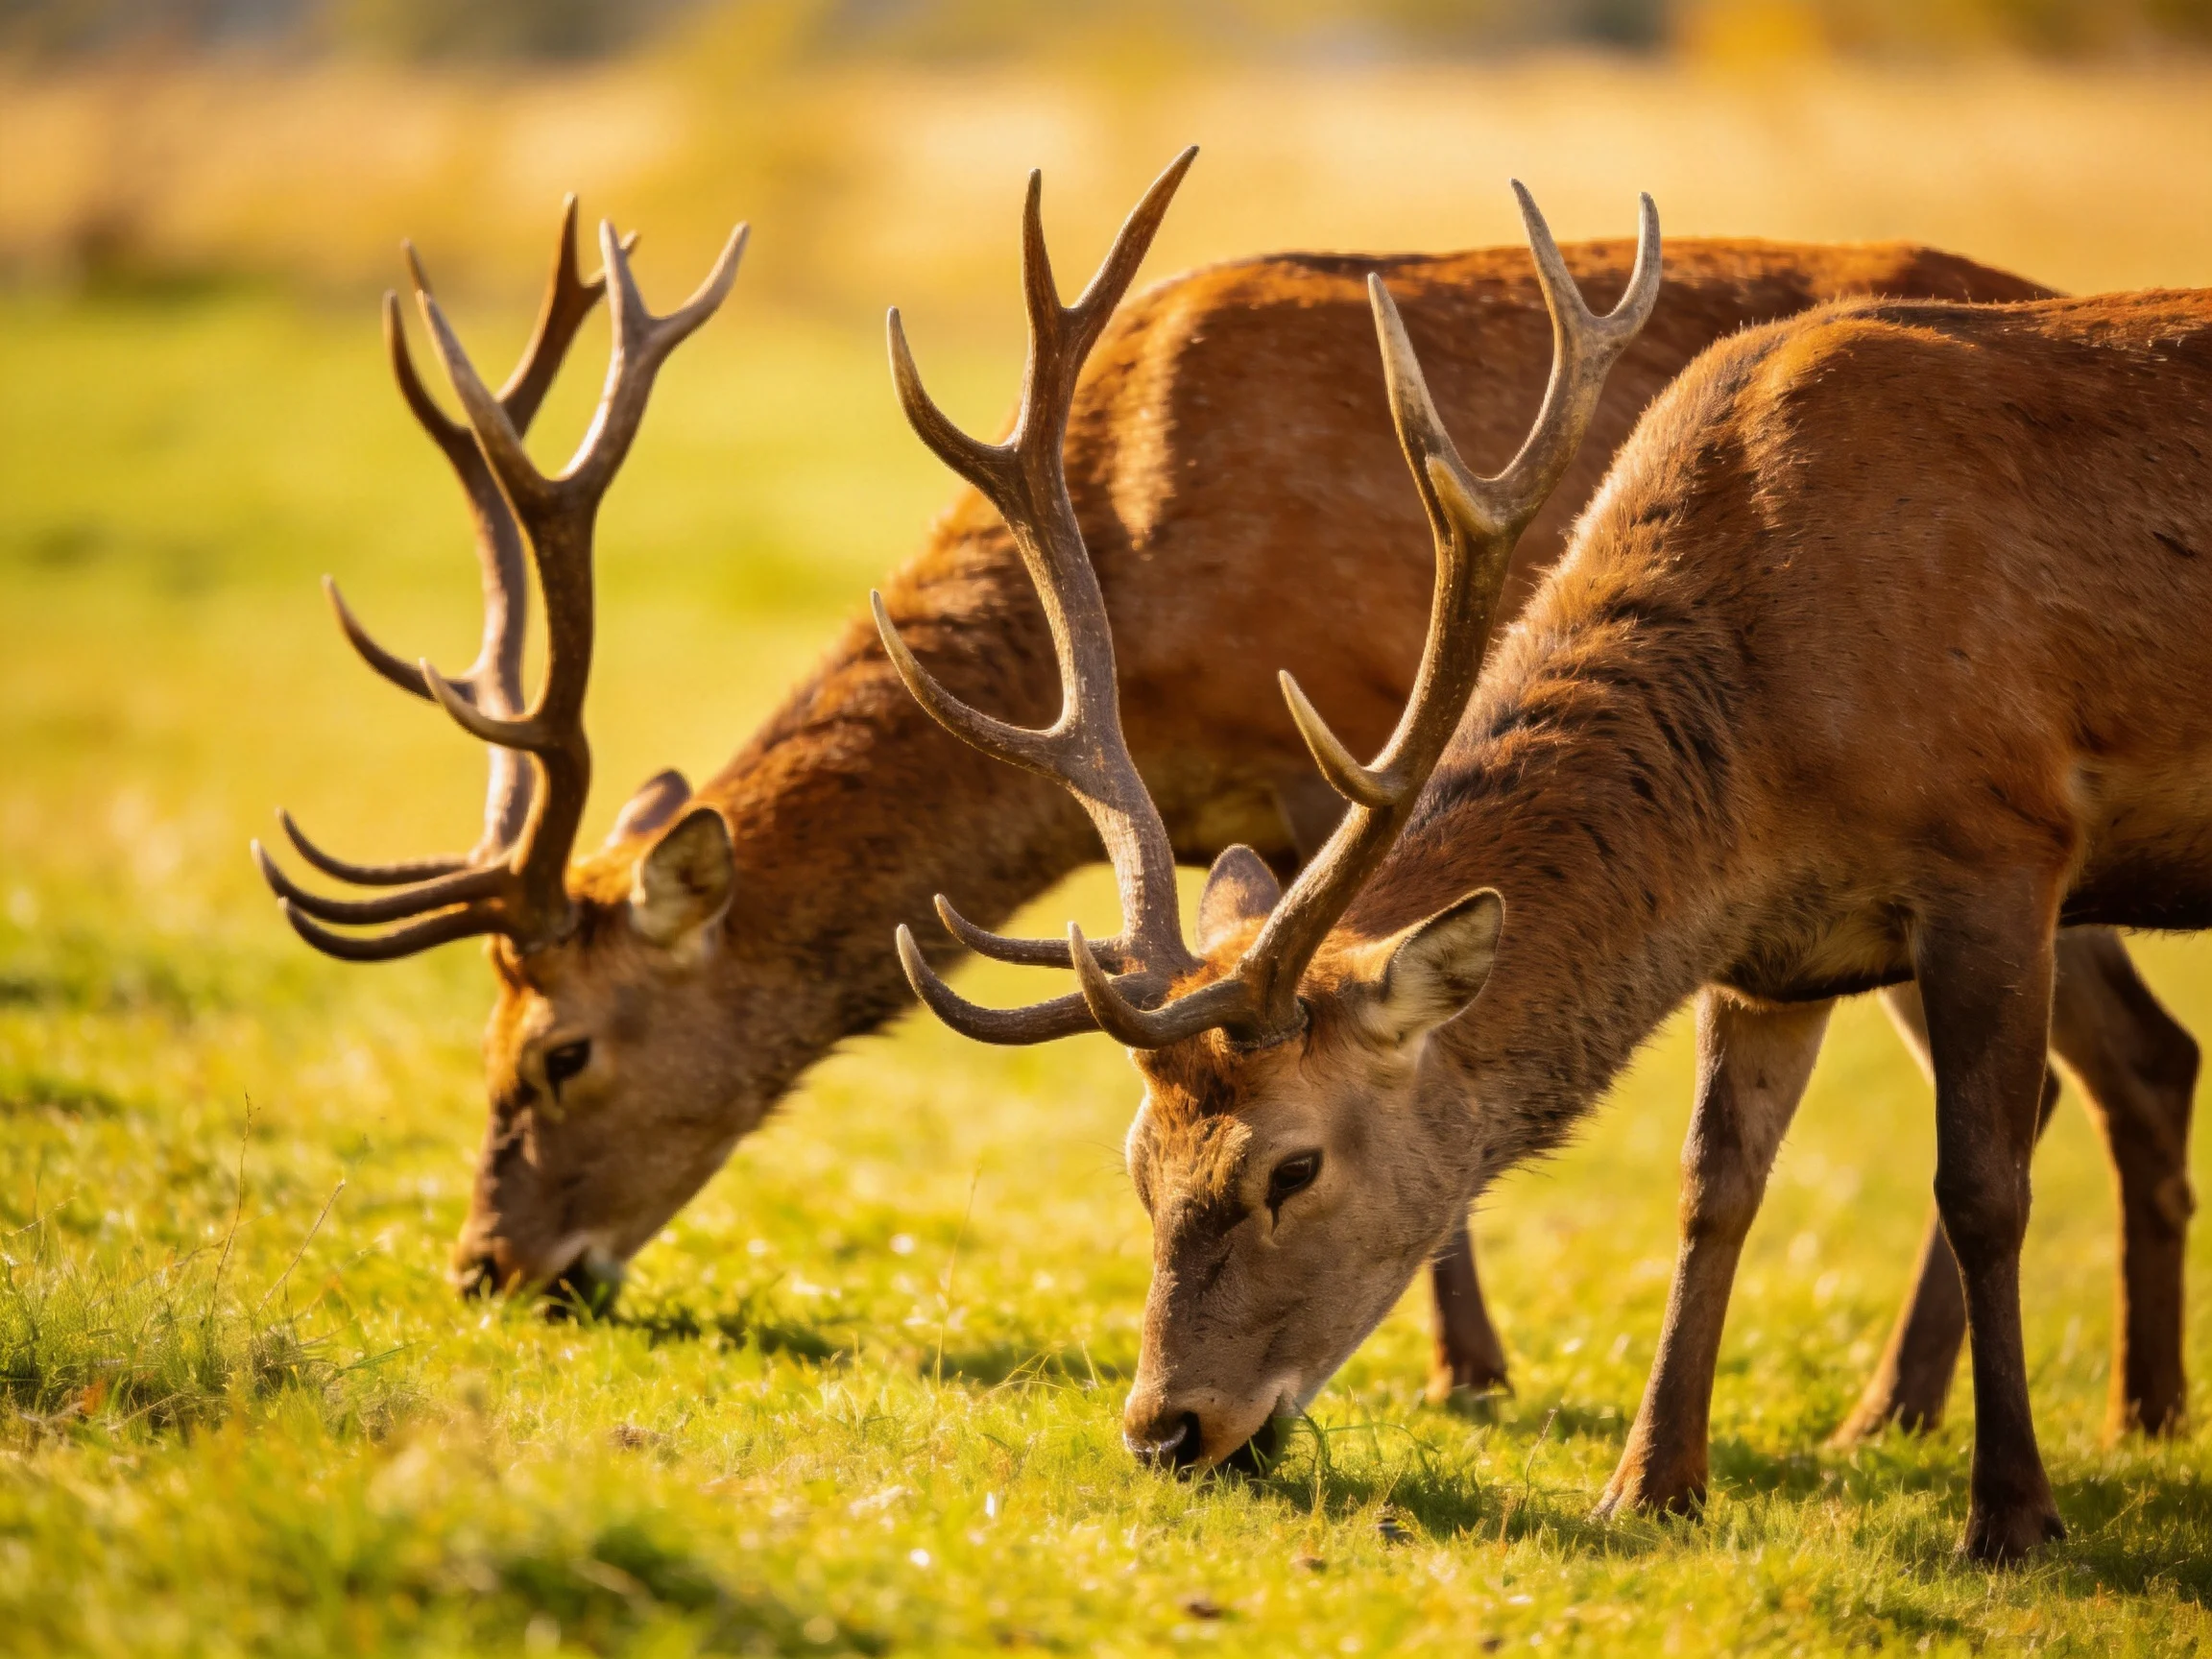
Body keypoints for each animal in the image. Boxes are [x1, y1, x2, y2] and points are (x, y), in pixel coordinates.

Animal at [253, 178, 2193, 1454]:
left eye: (558, 1052)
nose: (489, 1266)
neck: (1130, 555)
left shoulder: (1322, 739)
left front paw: (1463, 1368)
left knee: (2070, 1071)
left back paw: (1955, 1416)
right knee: (2130, 1061)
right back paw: (2054, 1408)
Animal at [874, 152, 2212, 1562]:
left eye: (1294, 1166)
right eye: (1139, 1167)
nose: (1164, 1432)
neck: (1776, 724)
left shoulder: (2003, 847)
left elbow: (1985, 1186)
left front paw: (2011, 1514)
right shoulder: (1775, 952)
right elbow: (1714, 1186)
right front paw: (1651, 1486)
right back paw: (2134, 1416)